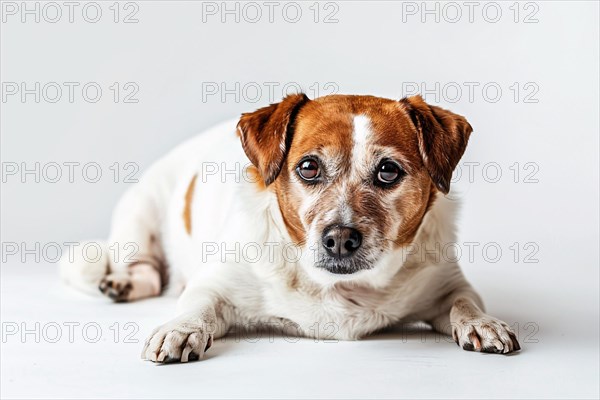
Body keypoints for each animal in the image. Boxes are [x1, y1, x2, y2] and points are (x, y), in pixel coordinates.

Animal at [59, 94, 520, 362]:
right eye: (309, 167)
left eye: (388, 171)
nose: (340, 238)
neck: (339, 289)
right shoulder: (216, 285)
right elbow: (198, 306)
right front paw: (180, 329)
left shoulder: (446, 283)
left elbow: (465, 302)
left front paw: (484, 322)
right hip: (138, 217)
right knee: (147, 270)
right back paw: (123, 282)